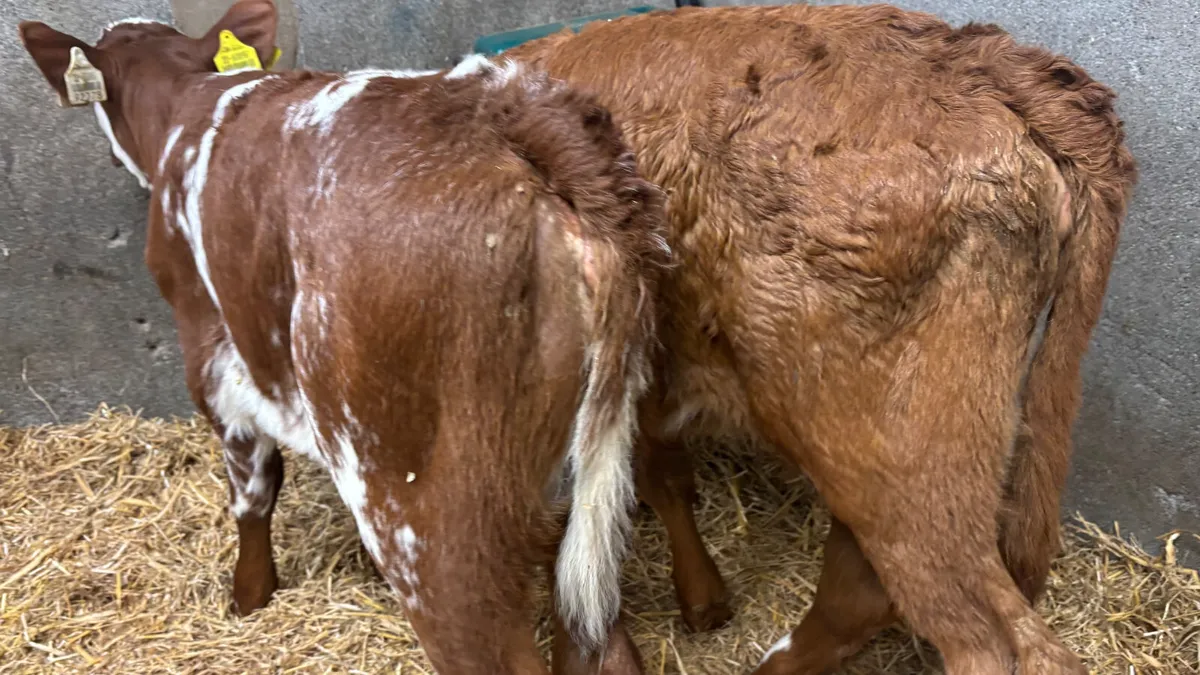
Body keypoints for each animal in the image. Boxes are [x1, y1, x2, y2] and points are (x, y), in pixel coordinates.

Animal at [17, 1, 671, 673]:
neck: (188, 104)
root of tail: (510, 118)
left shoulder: (212, 352)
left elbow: (252, 488)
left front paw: (249, 596)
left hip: (420, 518)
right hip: (583, 494)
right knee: (602, 638)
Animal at [499, 4, 1138, 674]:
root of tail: (984, 62)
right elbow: (660, 474)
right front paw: (703, 599)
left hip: (888, 446)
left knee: (991, 637)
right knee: (861, 586)